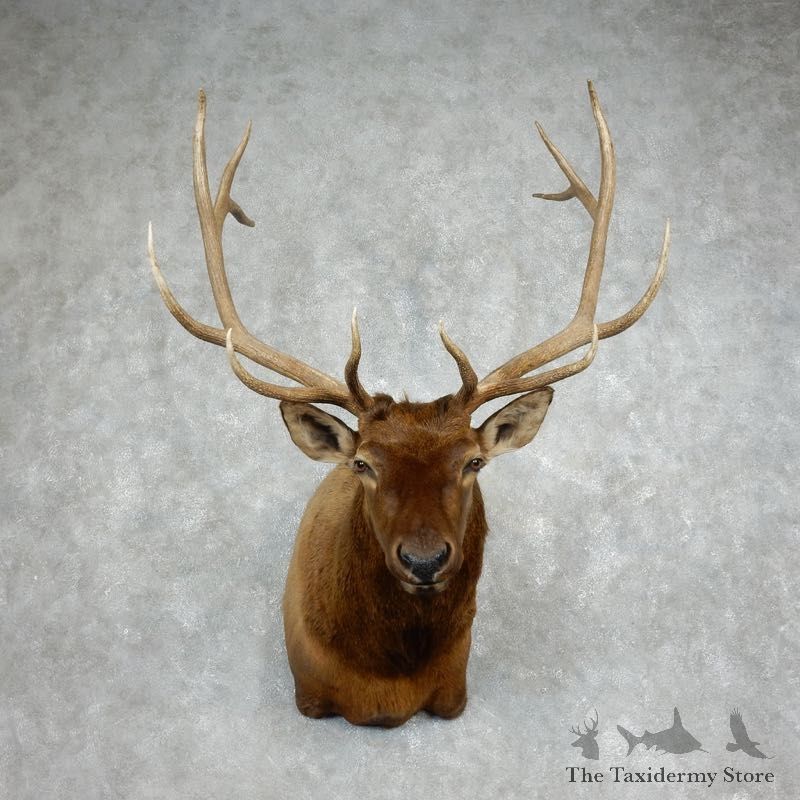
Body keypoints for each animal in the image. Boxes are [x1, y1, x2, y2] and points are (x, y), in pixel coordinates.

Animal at [147, 82, 670, 727]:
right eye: (363, 463)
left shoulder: (454, 694)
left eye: (473, 462)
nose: (424, 560)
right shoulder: (309, 694)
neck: (386, 687)